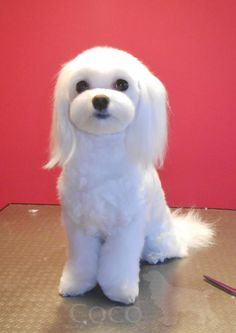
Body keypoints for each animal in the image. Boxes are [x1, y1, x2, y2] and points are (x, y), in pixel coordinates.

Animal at [44, 46, 214, 304]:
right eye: (81, 85)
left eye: (122, 84)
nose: (100, 99)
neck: (102, 151)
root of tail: (177, 230)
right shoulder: (78, 226)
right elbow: (81, 262)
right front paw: (76, 284)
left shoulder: (127, 226)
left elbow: (119, 264)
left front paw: (120, 291)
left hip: (157, 235)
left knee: (173, 250)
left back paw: (156, 255)